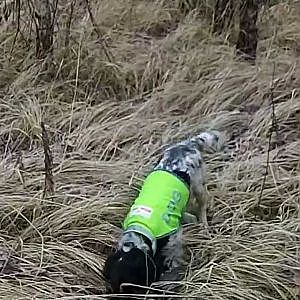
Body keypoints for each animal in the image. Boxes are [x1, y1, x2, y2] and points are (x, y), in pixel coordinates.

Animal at [103, 130, 225, 298]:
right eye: (112, 285)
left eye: (131, 286)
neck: (142, 228)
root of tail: (188, 143)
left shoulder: (174, 240)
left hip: (198, 186)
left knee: (202, 208)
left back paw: (204, 227)